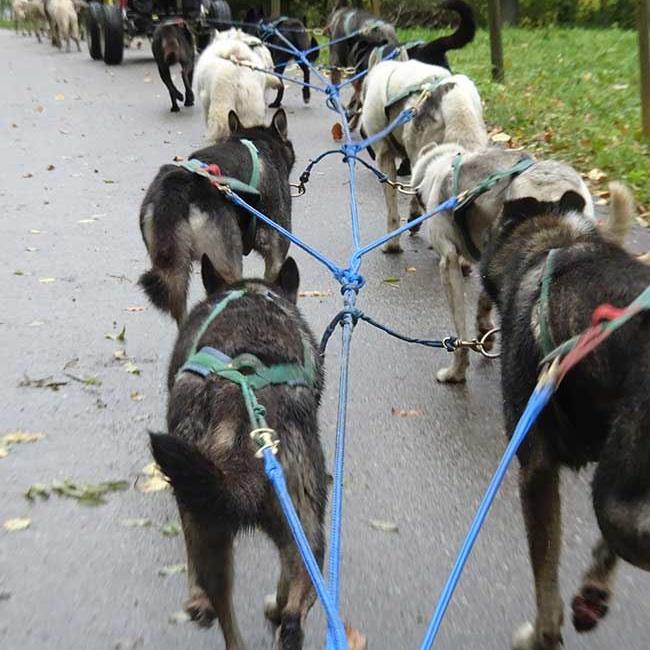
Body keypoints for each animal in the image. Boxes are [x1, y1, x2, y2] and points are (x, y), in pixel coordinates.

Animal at [479, 182, 650, 650]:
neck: (552, 242)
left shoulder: (535, 468)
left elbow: (545, 572)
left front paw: (543, 633)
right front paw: (592, 590)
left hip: (615, 501)